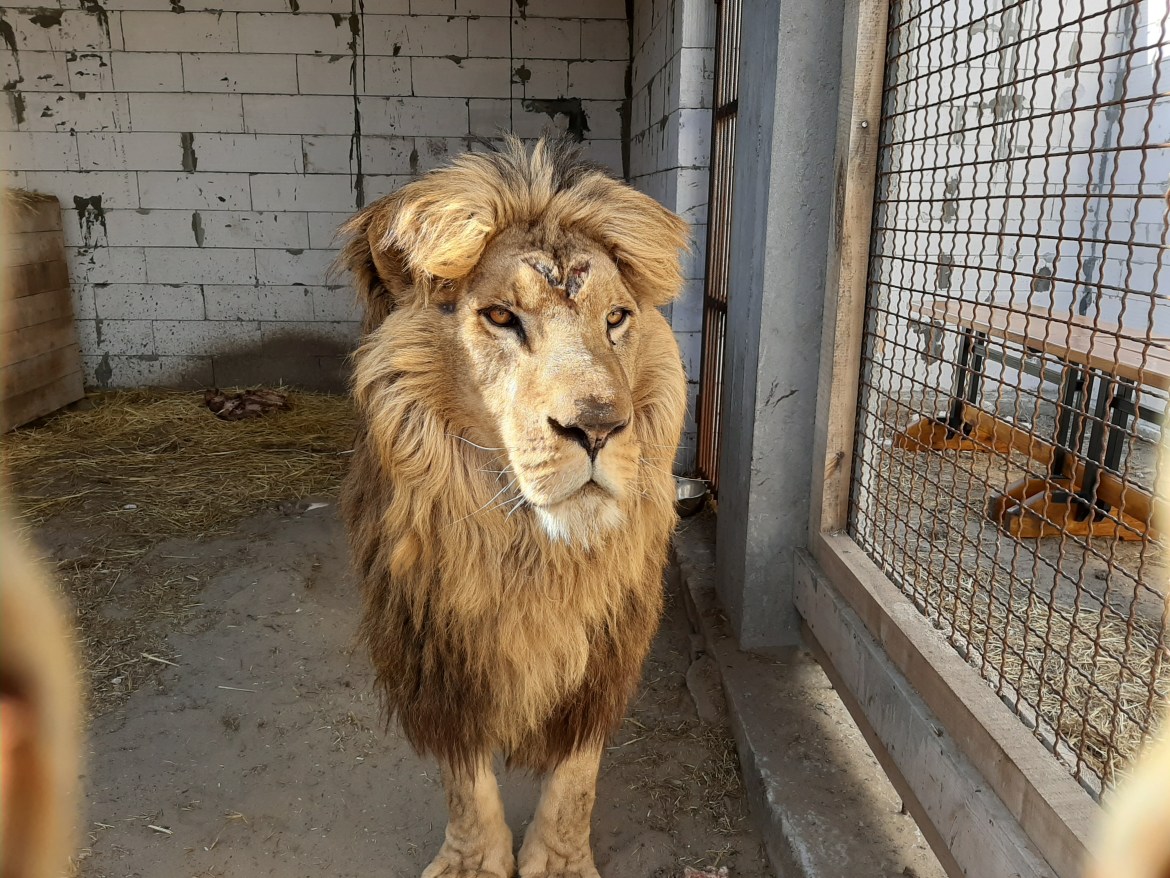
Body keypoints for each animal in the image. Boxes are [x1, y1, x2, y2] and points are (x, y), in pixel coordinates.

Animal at [336, 137, 683, 878]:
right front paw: (473, 863)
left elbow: (577, 773)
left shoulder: (607, 646)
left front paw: (559, 862)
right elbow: (465, 781)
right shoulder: (437, 647)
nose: (599, 428)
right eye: (501, 317)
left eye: (617, 318)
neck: (532, 553)